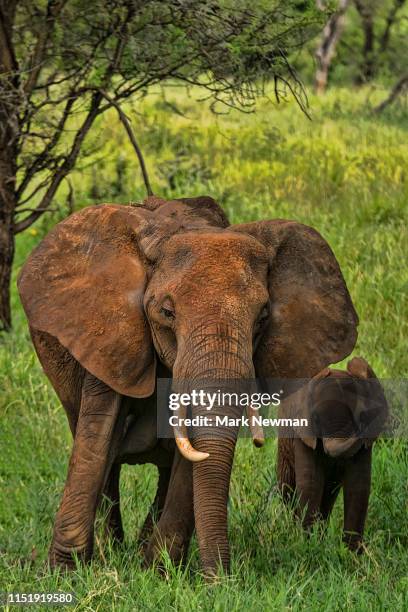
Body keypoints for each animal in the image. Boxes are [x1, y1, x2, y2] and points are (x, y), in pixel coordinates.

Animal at [18, 196, 356, 580]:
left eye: (263, 318)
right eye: (167, 312)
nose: (222, 581)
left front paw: (157, 573)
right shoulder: (110, 338)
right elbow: (96, 438)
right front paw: (66, 574)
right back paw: (111, 550)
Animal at [278, 356, 388, 552]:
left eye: (360, 417)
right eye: (315, 419)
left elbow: (358, 485)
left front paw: (351, 554)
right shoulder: (304, 433)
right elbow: (311, 483)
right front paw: (306, 545)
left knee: (328, 494)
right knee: (287, 488)